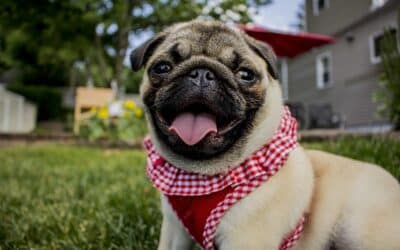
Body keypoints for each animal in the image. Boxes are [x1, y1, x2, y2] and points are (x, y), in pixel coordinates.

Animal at [130, 20, 400, 249]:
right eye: (162, 67)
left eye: (245, 75)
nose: (202, 73)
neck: (201, 175)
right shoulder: (174, 231)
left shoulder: (245, 239)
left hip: (360, 230)